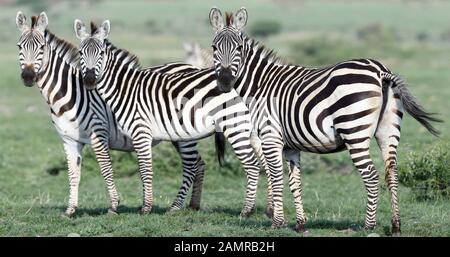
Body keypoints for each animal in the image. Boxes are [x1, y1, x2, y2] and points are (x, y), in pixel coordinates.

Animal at [14, 11, 209, 216]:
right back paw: (193, 205)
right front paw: (70, 210)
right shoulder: (69, 140)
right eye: (19, 47)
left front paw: (114, 206)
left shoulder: (98, 133)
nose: (28, 76)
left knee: (190, 165)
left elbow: (106, 169)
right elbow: (73, 175)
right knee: (199, 163)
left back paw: (175, 207)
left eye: (41, 47)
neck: (69, 94)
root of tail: (191, 67)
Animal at [73, 19, 268, 217]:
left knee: (252, 165)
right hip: (248, 129)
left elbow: (145, 169)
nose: (89, 80)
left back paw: (246, 211)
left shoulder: (140, 132)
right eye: (80, 52)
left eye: (101, 53)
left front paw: (146, 208)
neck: (125, 89)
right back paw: (269, 209)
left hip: (234, 126)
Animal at [209, 7, 442, 232]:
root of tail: (380, 71)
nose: (225, 82)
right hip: (389, 131)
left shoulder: (270, 137)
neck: (261, 85)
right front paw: (300, 224)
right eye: (213, 48)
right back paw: (395, 225)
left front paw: (277, 223)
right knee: (391, 173)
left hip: (354, 131)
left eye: (239, 48)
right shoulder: (290, 145)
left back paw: (368, 226)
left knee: (371, 176)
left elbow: (276, 178)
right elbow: (295, 182)